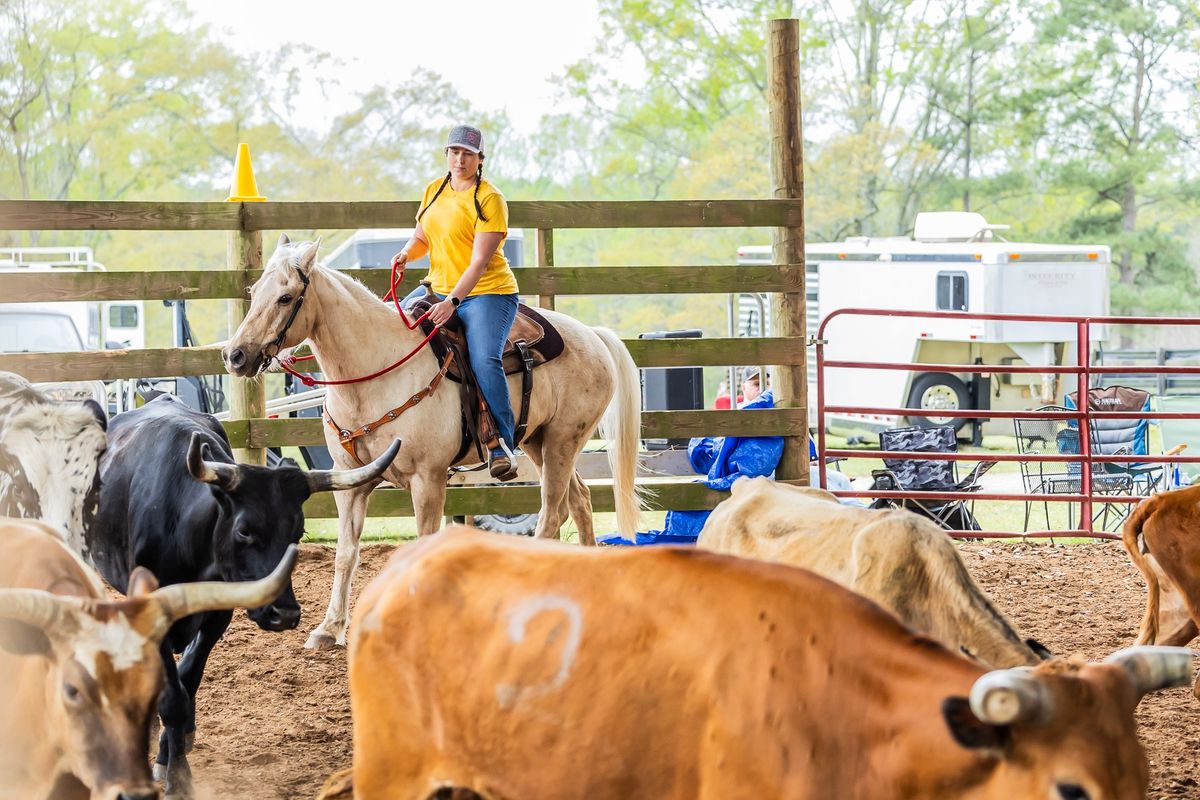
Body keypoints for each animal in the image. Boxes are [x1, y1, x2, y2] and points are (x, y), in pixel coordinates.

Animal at [225, 237, 648, 652]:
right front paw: (329, 629)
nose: (235, 355)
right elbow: (345, 553)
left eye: (285, 297)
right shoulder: (348, 479)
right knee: (580, 502)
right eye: (255, 291)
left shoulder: (426, 478)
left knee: (551, 515)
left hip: (562, 441)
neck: (374, 373)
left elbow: (423, 546)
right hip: (539, 443)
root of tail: (593, 335)